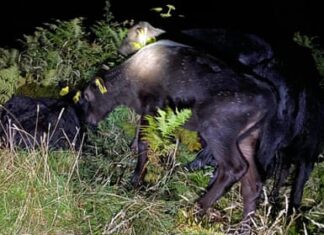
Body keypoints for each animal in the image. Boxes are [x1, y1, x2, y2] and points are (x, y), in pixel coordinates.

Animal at [79, 40, 278, 222]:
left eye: (87, 96)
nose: (87, 120)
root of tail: (268, 99)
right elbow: (139, 135)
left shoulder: (154, 105)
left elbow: (145, 140)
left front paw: (136, 180)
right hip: (246, 138)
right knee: (253, 184)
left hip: (218, 130)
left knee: (234, 168)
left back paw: (197, 207)